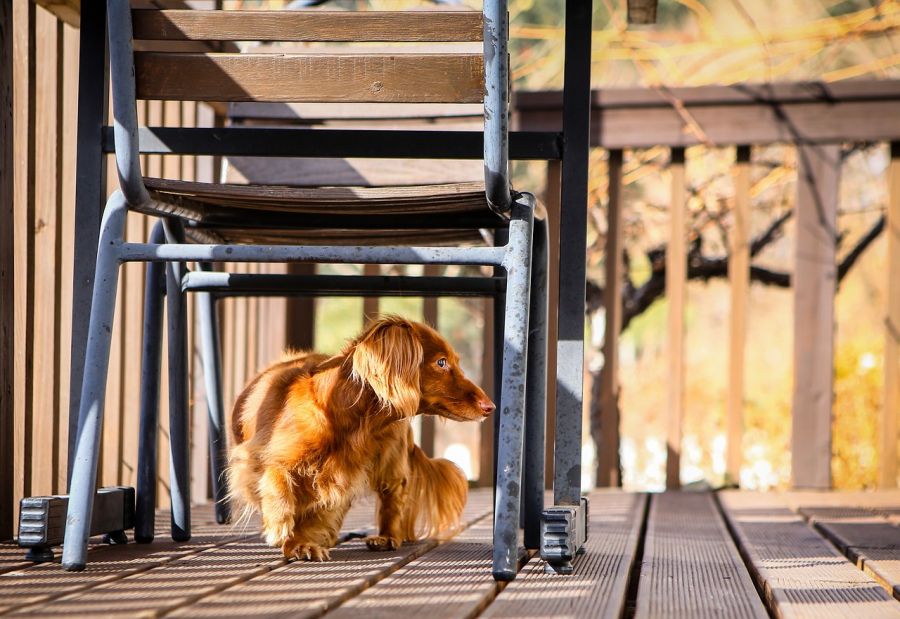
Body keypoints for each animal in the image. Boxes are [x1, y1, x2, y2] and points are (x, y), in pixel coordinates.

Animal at [225, 314, 492, 560]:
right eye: (441, 362)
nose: (490, 407)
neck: (346, 419)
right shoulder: (258, 455)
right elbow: (277, 478)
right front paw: (281, 527)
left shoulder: (339, 476)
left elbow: (315, 512)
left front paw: (300, 542)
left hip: (391, 460)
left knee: (393, 498)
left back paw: (387, 537)